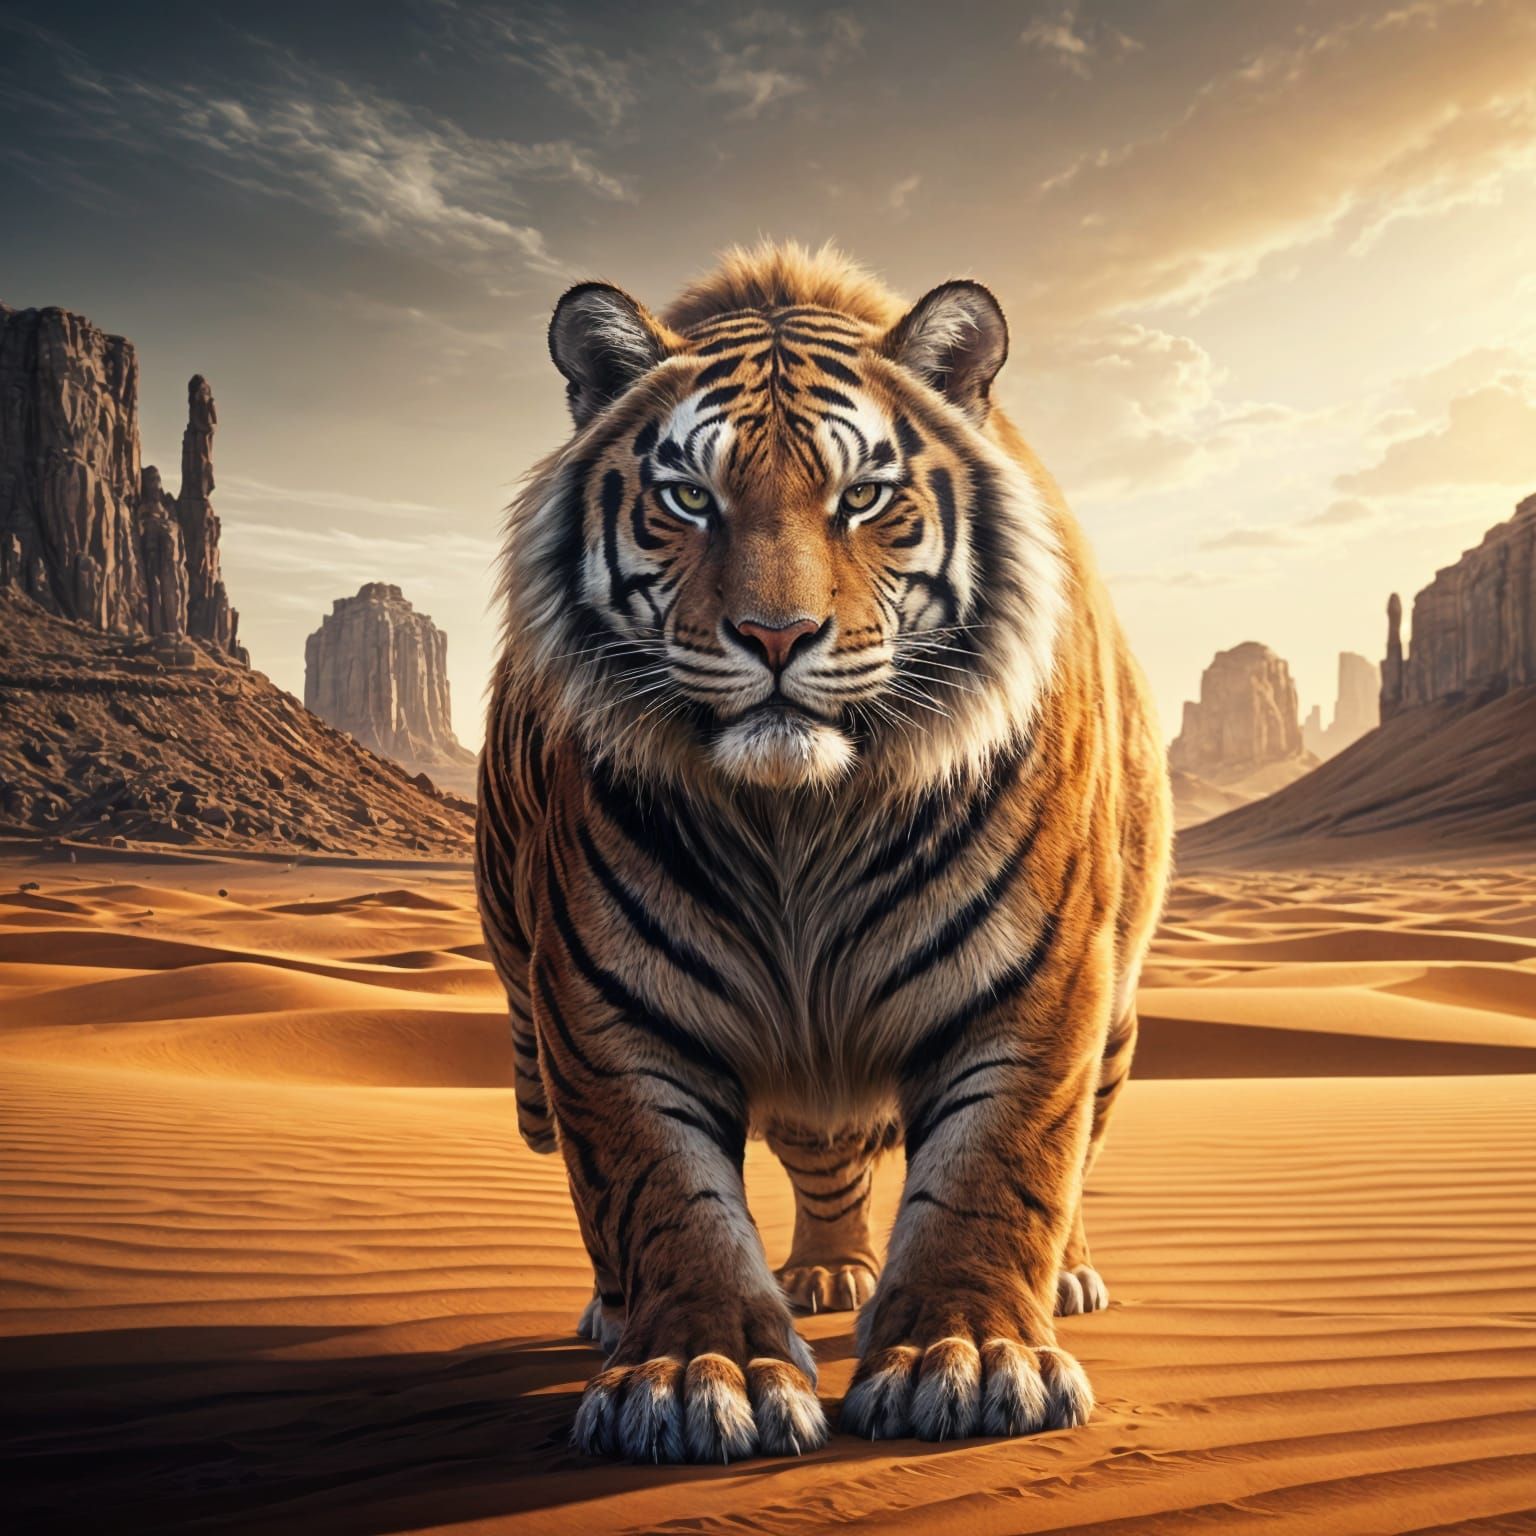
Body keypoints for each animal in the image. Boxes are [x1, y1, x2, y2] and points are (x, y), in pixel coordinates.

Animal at [476, 242, 1171, 1462]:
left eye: (863, 499)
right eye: (689, 498)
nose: (775, 635)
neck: (797, 822)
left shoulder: (1037, 983)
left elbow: (996, 1171)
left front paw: (969, 1360)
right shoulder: (608, 1000)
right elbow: (667, 1196)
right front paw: (693, 1377)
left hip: (1119, 1012)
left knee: (1078, 1144)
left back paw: (1062, 1280)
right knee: (817, 1152)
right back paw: (809, 1278)